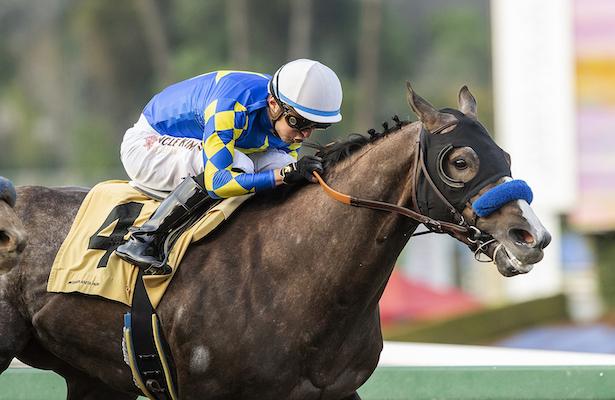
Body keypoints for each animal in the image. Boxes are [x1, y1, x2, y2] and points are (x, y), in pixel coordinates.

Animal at [0, 86, 548, 398]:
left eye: (505, 154)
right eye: (460, 161)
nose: (533, 237)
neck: (294, 272)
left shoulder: (334, 393)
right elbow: (219, 171)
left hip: (93, 378)